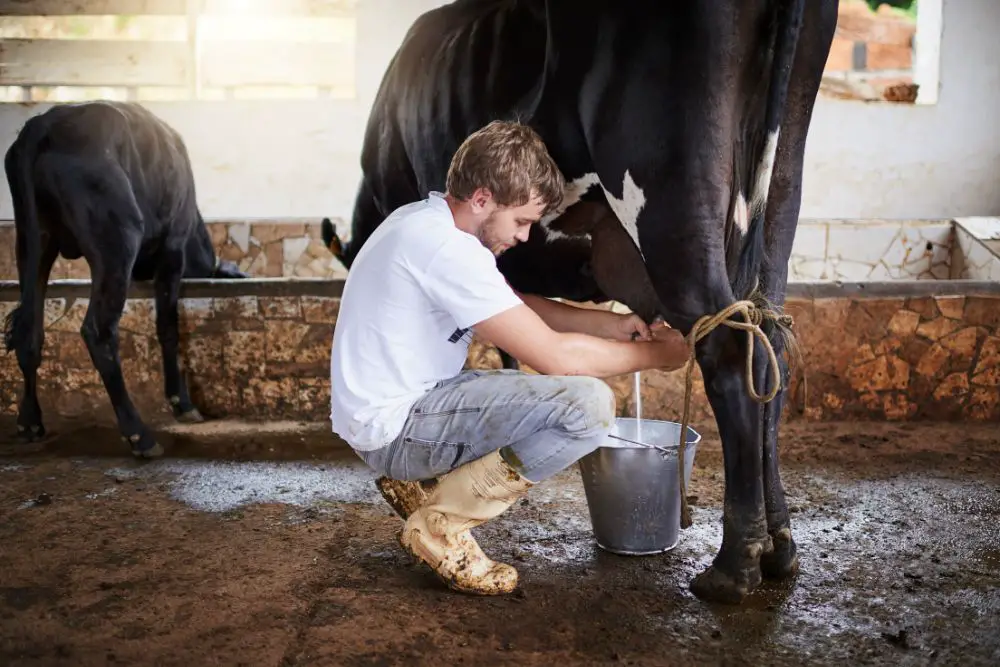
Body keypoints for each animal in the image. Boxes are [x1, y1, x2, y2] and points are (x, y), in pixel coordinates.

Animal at [3, 100, 246, 460]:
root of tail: (43, 125)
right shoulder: (173, 247)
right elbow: (167, 327)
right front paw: (181, 402)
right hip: (118, 240)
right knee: (98, 331)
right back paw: (139, 435)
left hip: (33, 244)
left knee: (29, 331)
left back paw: (30, 422)